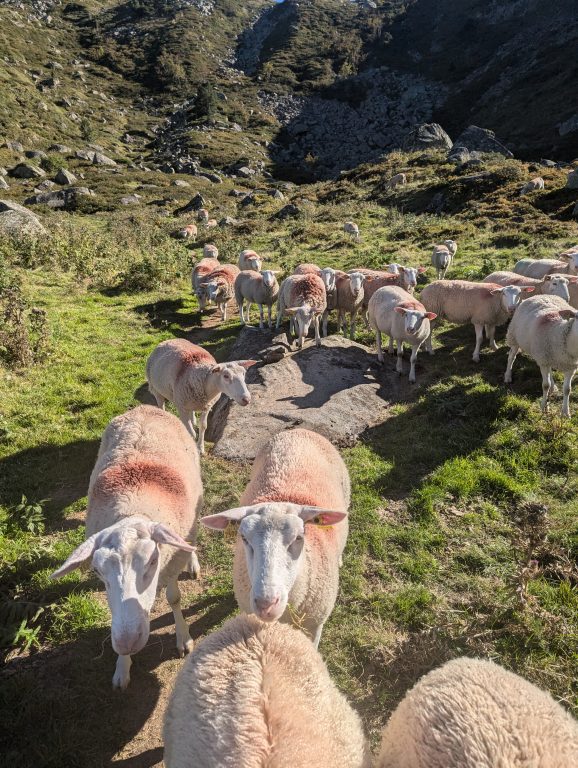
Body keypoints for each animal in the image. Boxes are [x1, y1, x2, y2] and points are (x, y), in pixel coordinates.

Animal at [50, 405, 202, 690]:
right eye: (98, 572)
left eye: (152, 561)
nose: (127, 642)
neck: (133, 509)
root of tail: (147, 407)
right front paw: (122, 666)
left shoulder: (171, 562)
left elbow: (174, 598)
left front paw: (183, 637)